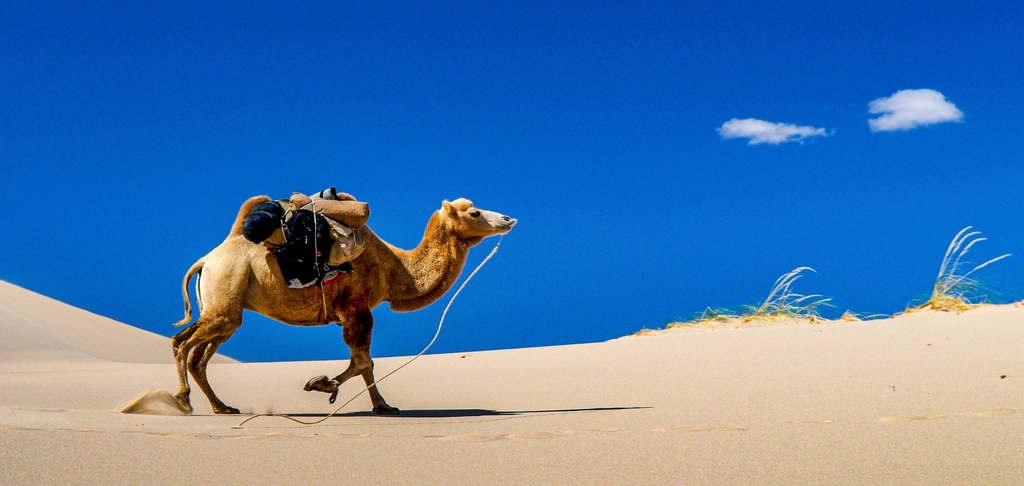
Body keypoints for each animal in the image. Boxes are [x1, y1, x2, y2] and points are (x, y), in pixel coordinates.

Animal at [171, 197, 516, 415]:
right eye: (474, 213)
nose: (508, 218)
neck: (395, 269)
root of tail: (206, 260)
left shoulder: (353, 313)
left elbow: (366, 363)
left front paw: (383, 407)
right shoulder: (357, 308)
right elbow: (363, 362)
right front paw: (323, 385)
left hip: (226, 310)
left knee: (198, 357)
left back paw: (222, 407)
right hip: (225, 291)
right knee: (181, 343)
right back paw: (183, 399)